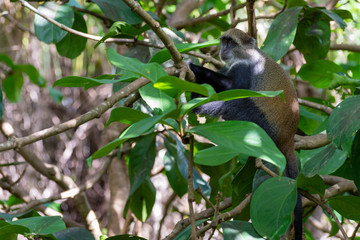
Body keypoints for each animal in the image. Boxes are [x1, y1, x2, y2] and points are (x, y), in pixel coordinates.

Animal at [190, 28, 302, 240]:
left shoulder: (245, 68)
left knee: (236, 104)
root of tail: (288, 139)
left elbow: (234, 89)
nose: (224, 50)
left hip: (261, 122)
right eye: (224, 42)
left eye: (232, 43)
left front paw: (194, 67)